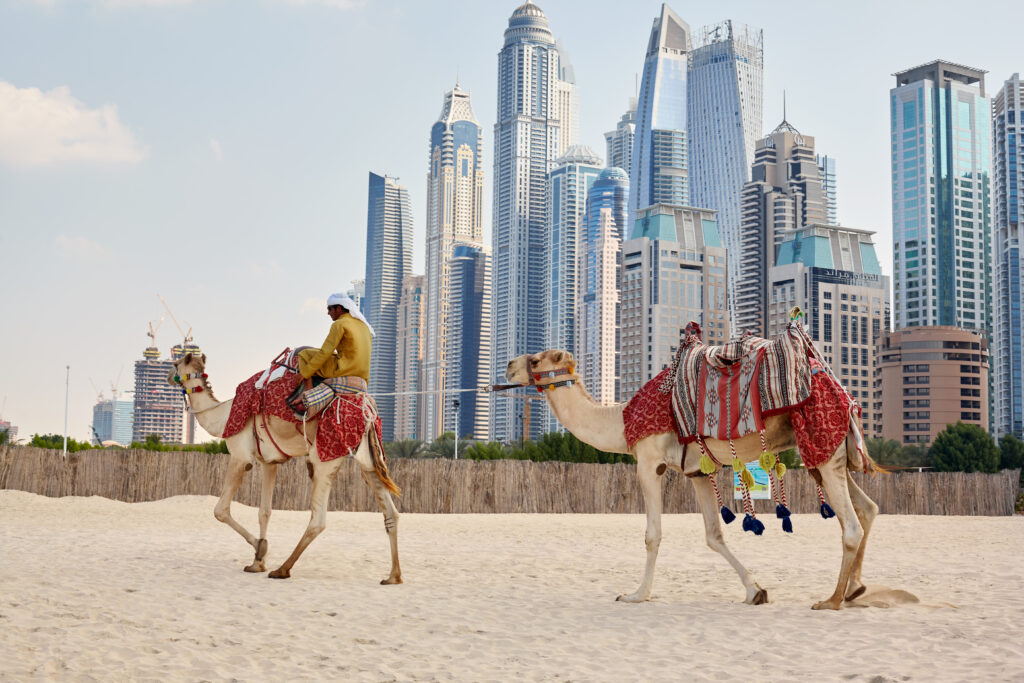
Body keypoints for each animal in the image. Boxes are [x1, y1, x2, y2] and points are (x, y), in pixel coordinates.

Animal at [166, 352, 399, 581]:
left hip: (325, 457)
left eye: (176, 363)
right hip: (368, 459)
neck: (222, 417)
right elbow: (264, 512)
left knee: (318, 520)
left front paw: (259, 549)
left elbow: (220, 510)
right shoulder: (269, 462)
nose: (168, 376)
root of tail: (368, 411)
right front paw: (257, 562)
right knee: (391, 512)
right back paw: (394, 576)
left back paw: (282, 569)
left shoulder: (240, 457)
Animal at [503, 350, 880, 610]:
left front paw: (636, 594)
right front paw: (755, 591)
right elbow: (714, 535)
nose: (508, 365)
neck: (621, 419)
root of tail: (843, 392)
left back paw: (831, 600)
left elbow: (652, 535)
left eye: (535, 359)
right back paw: (856, 589)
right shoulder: (698, 470)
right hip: (830, 452)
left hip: (821, 443)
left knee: (851, 525)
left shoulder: (649, 461)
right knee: (868, 508)